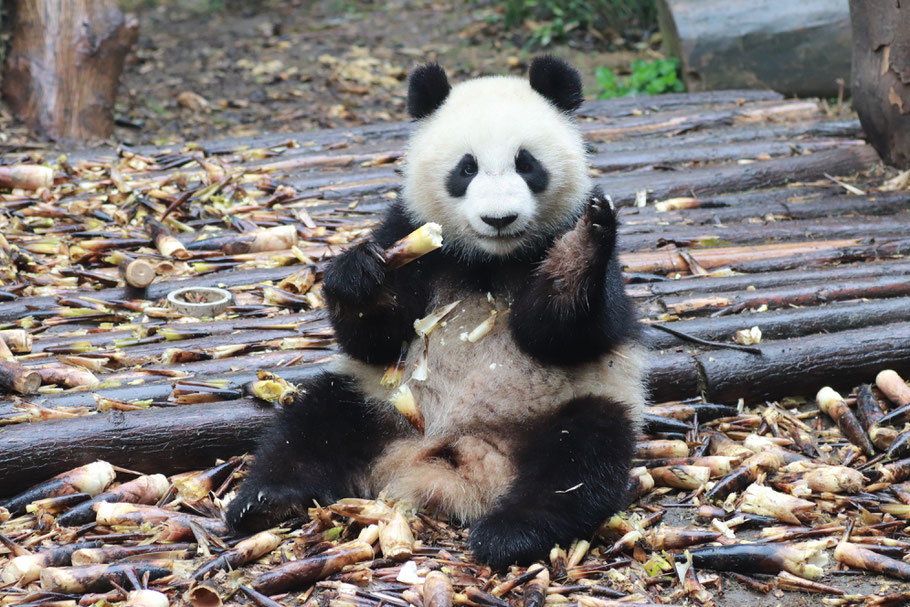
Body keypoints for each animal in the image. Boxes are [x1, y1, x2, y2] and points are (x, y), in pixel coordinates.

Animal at [232, 54, 652, 568]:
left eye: (526, 163)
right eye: (466, 168)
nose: (499, 219)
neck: (492, 259)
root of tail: (452, 460)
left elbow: (563, 331)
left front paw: (586, 243)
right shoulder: (411, 234)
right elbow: (374, 339)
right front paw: (359, 273)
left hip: (582, 398)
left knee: (580, 459)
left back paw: (510, 533)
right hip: (378, 401)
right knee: (313, 426)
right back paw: (265, 502)